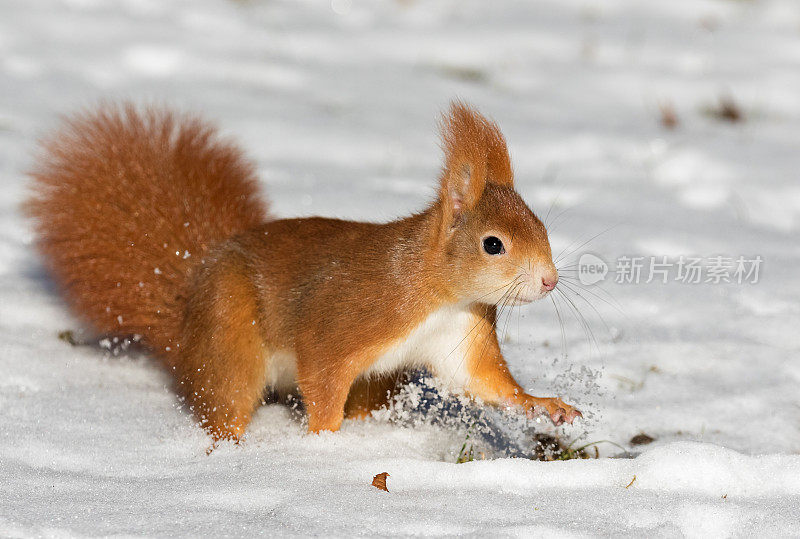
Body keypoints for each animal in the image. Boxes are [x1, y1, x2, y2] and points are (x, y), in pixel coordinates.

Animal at [28, 102, 580, 442]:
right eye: (493, 245)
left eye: (541, 227)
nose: (550, 280)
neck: (439, 293)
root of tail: (187, 313)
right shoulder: (349, 318)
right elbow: (322, 372)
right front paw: (324, 442)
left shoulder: (460, 334)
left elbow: (486, 385)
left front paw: (546, 405)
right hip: (230, 329)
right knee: (227, 398)